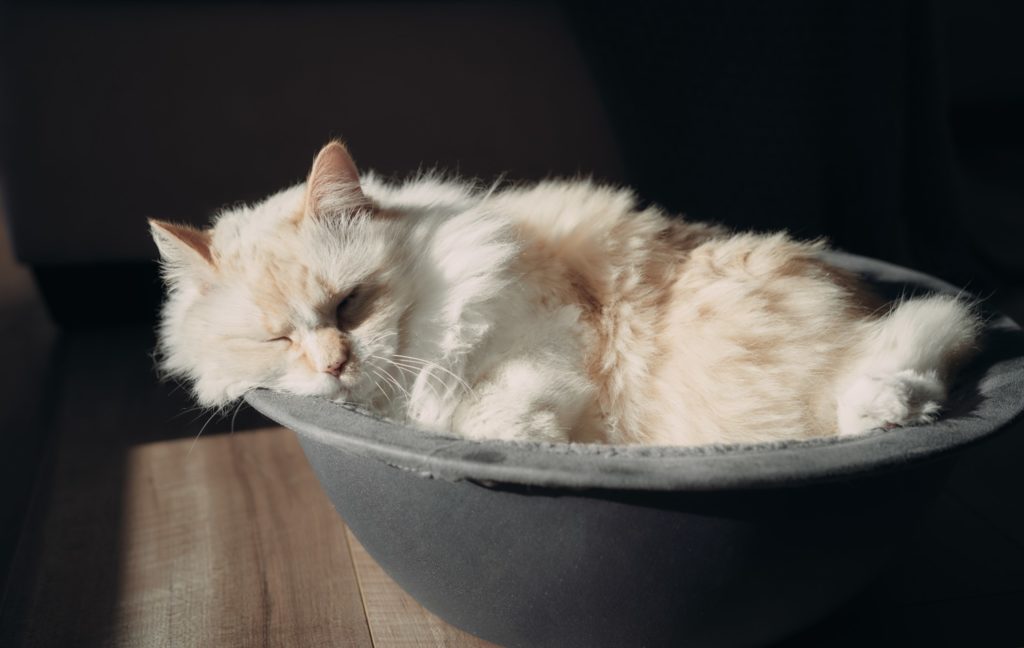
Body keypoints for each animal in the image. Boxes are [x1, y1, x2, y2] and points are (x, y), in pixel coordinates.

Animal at [148, 141, 978, 444]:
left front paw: (531, 436)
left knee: (931, 336)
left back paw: (886, 410)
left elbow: (490, 408)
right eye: (276, 338)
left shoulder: (549, 342)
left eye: (350, 304)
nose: (335, 364)